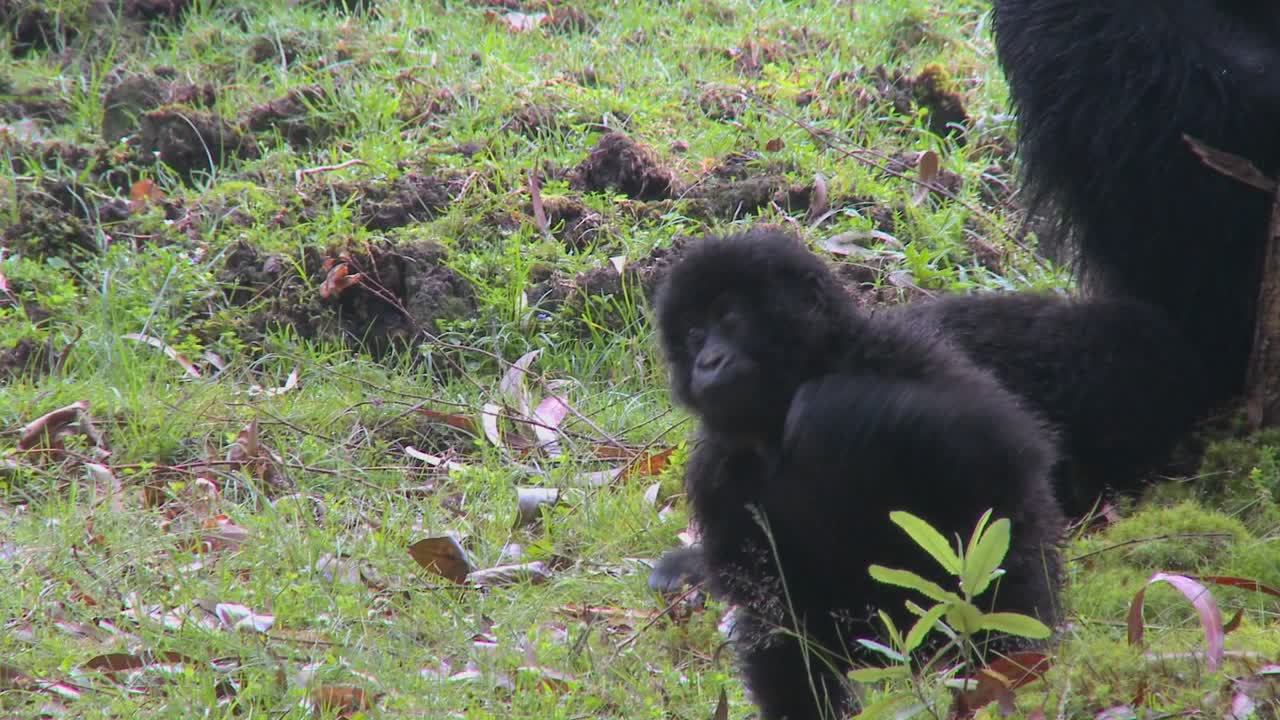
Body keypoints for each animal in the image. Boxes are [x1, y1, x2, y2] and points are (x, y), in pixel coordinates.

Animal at [651, 228, 1065, 720]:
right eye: (694, 335)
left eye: (729, 319)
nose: (708, 362)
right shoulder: (715, 472)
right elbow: (773, 605)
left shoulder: (898, 349)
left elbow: (995, 443)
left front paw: (832, 408)